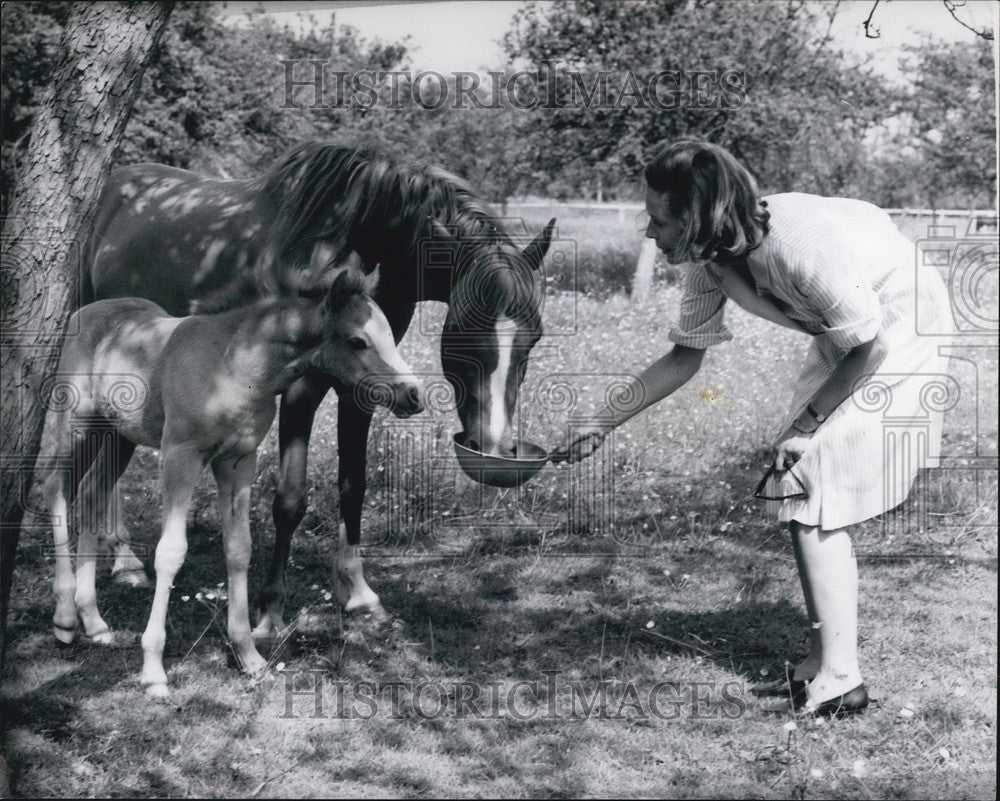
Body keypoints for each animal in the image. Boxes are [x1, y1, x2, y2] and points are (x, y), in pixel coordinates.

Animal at [39, 268, 423, 696]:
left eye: (389, 333)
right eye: (358, 340)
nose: (413, 394)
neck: (233, 364)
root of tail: (83, 313)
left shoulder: (238, 460)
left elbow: (239, 547)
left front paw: (248, 655)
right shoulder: (181, 455)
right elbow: (170, 552)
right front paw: (153, 669)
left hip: (116, 435)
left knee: (91, 494)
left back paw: (93, 621)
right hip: (75, 424)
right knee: (55, 488)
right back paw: (65, 618)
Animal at [85, 141, 555, 629]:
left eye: (535, 336)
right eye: (462, 330)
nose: (495, 446)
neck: (355, 239)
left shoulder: (364, 387)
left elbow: (353, 485)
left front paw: (359, 593)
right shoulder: (299, 390)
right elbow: (289, 500)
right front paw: (270, 610)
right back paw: (123, 561)